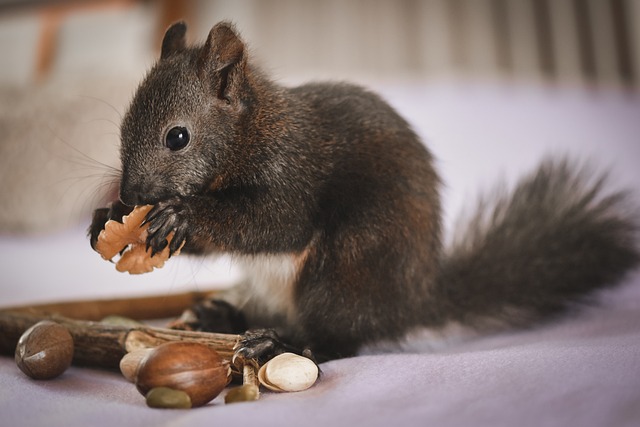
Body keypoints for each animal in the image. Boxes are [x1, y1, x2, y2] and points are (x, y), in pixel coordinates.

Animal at [90, 20, 640, 362]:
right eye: (123, 123)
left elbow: (275, 222)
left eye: (177, 137)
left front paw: (182, 213)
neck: (251, 132)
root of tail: (414, 300)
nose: (132, 193)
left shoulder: (294, 170)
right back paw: (219, 313)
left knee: (338, 340)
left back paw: (281, 346)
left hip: (348, 267)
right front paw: (106, 219)